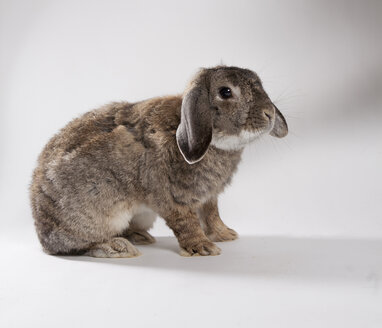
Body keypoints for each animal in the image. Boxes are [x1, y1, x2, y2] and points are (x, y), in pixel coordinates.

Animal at [29, 65, 286, 258]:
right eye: (225, 92)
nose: (270, 114)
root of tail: (41, 231)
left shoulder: (208, 198)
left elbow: (212, 216)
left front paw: (226, 235)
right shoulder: (172, 198)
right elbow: (186, 222)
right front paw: (203, 247)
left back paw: (137, 236)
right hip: (98, 214)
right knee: (75, 245)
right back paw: (115, 246)